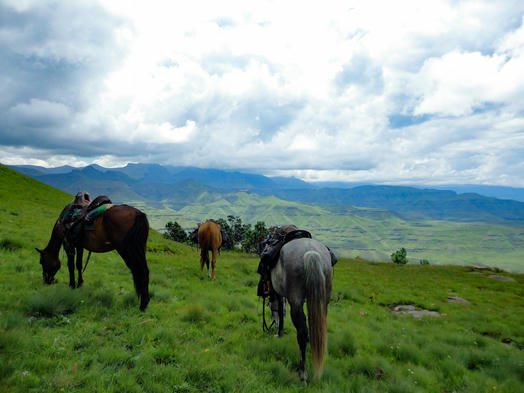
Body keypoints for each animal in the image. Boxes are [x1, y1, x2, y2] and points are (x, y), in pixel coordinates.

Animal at [270, 236, 332, 382]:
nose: (274, 325)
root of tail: (311, 251)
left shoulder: (279, 293)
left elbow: (281, 309)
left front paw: (280, 332)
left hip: (296, 302)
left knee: (302, 334)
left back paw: (302, 373)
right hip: (323, 300)